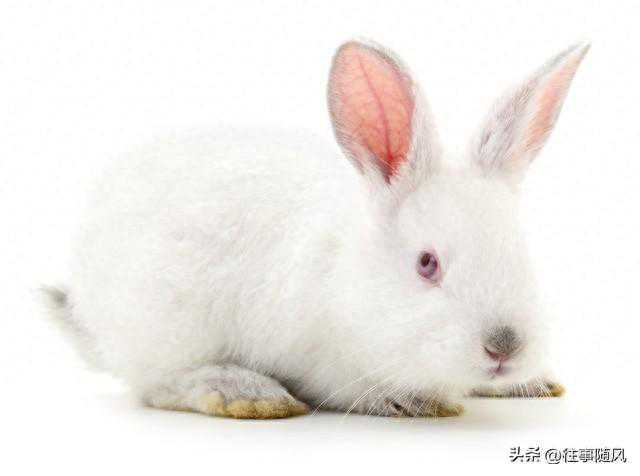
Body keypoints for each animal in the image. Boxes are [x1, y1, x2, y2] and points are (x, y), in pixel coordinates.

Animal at [42, 39, 589, 419]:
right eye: (426, 264)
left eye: (521, 253)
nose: (505, 347)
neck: (348, 276)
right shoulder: (327, 363)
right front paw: (413, 402)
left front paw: (530, 382)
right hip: (166, 327)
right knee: (158, 383)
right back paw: (246, 393)